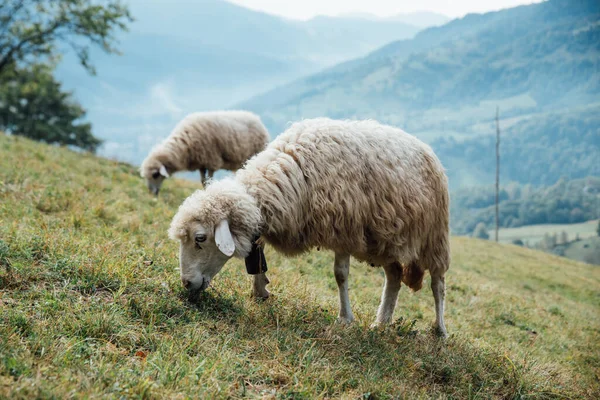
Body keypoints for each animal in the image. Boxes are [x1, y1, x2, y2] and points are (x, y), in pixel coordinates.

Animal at [138, 111, 270, 195]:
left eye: (155, 175)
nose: (151, 193)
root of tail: (256, 118)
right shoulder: (202, 163)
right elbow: (203, 181)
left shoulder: (212, 160)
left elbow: (209, 180)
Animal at [169, 117, 450, 336]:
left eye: (200, 238)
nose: (186, 283)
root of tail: (426, 148)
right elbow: (257, 256)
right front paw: (260, 291)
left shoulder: (344, 229)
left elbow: (340, 275)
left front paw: (344, 319)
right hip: (385, 241)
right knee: (394, 277)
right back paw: (382, 322)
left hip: (435, 236)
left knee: (438, 284)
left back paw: (440, 330)